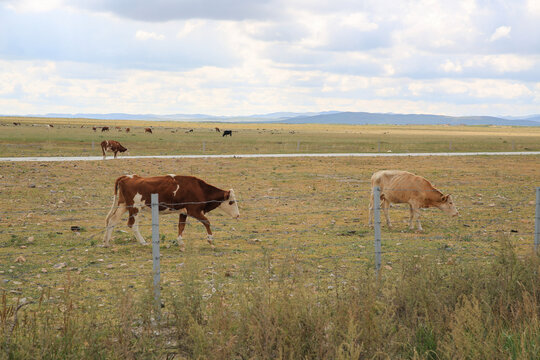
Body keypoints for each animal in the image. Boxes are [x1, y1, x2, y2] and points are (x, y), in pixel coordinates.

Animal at [104, 175, 239, 250]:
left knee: (112, 220)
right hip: (135, 208)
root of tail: (128, 177)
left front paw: (180, 243)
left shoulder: (183, 212)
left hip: (123, 205)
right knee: (132, 225)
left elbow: (181, 226)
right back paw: (143, 242)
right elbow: (206, 222)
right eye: (231, 202)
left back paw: (106, 243)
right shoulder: (194, 210)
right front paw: (210, 240)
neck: (199, 189)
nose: (238, 215)